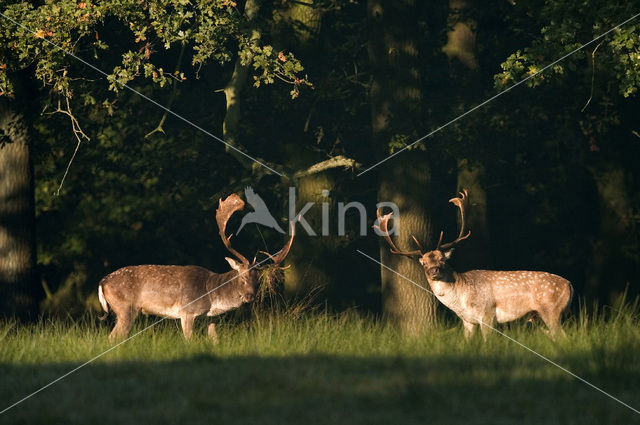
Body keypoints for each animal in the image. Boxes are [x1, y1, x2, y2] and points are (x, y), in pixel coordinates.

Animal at [98, 194, 296, 340]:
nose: (250, 297)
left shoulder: (210, 318)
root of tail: (102, 282)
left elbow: (215, 340)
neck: (211, 295)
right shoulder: (187, 312)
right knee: (112, 337)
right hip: (125, 308)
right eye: (242, 276)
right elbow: (189, 341)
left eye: (258, 279)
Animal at [372, 189, 572, 338]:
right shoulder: (467, 321)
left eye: (443, 259)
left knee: (562, 336)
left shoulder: (487, 314)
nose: (435, 270)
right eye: (424, 263)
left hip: (551, 309)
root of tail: (570, 285)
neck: (461, 299)